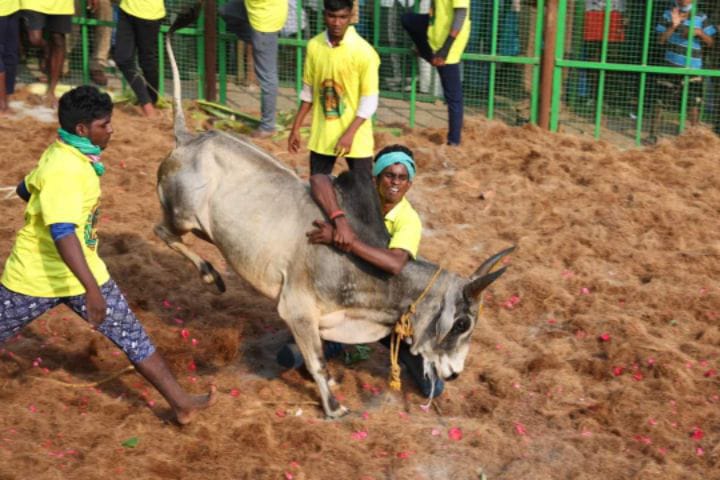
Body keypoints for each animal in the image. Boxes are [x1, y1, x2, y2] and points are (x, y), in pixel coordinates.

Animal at [155, 10, 516, 416]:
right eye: (461, 323)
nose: (454, 374)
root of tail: (187, 139)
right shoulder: (297, 309)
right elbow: (317, 362)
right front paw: (333, 406)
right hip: (182, 215)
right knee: (162, 232)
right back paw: (211, 276)